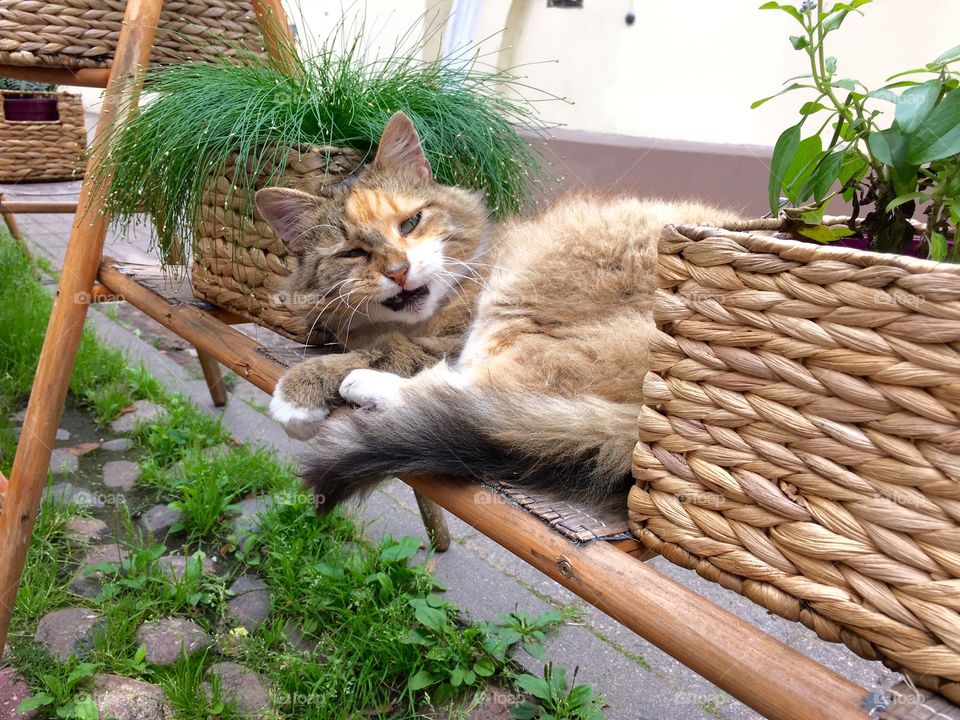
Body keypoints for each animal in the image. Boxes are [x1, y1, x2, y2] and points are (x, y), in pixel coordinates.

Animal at [255, 111, 736, 512]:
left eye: (409, 223)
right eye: (352, 253)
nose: (399, 270)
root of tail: (639, 431)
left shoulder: (445, 339)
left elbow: (387, 351)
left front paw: (297, 394)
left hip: (518, 302)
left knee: (473, 394)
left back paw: (364, 385)